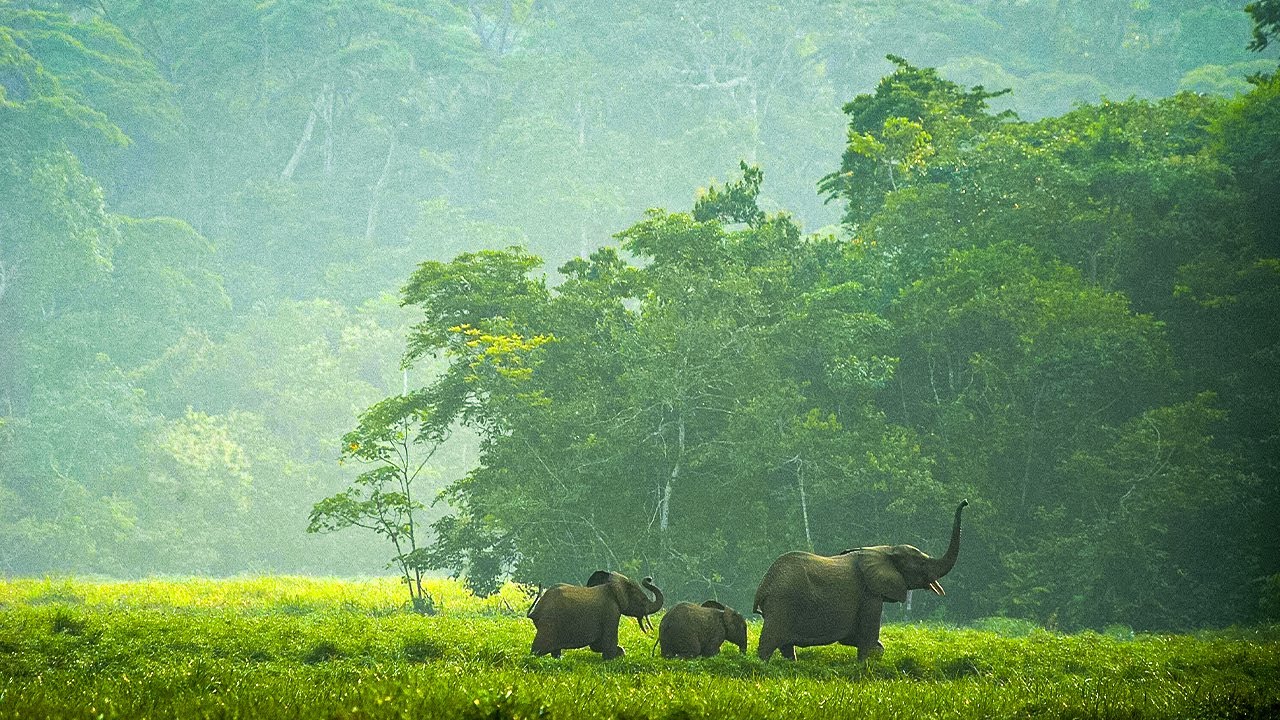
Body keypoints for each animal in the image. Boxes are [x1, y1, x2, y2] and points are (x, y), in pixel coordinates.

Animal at [527, 568, 665, 661]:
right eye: (641, 600)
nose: (649, 579)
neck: (614, 585)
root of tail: (536, 610)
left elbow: (597, 644)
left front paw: (619, 652)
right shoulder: (611, 611)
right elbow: (607, 641)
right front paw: (615, 656)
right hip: (549, 623)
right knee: (539, 647)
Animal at [747, 502, 967, 661]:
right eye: (921, 563)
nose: (965, 502)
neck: (886, 550)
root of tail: (763, 585)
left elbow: (857, 639)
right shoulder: (870, 595)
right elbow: (867, 637)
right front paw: (865, 665)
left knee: (785, 646)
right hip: (782, 602)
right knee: (770, 641)